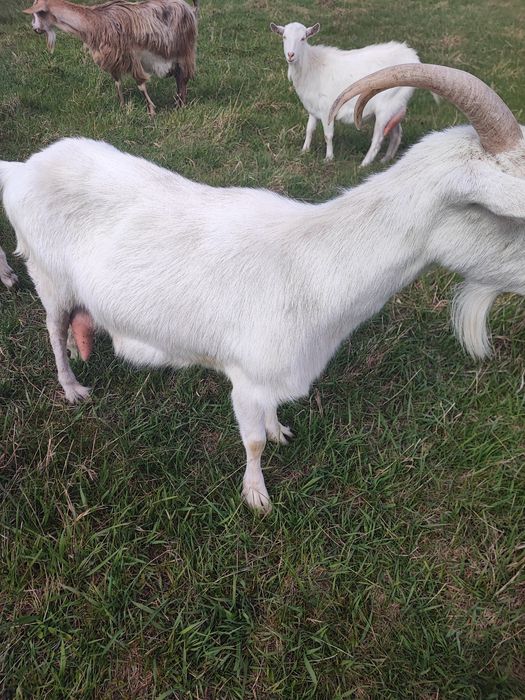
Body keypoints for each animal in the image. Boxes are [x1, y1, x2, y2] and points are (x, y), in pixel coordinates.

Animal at [1, 64, 524, 512]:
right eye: (509, 216)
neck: (316, 263)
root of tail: (24, 168)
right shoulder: (246, 376)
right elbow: (250, 440)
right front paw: (257, 495)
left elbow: (271, 418)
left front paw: (279, 432)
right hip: (49, 277)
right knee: (52, 330)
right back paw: (72, 387)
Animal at [23, 0, 198, 115]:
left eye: (39, 13)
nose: (35, 29)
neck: (95, 21)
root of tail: (189, 8)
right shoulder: (114, 61)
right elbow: (117, 83)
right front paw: (122, 108)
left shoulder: (130, 57)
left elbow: (140, 84)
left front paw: (151, 112)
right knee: (179, 76)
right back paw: (178, 103)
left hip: (184, 52)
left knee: (182, 77)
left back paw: (180, 106)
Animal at [270, 22, 421, 165]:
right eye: (284, 37)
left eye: (303, 38)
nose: (290, 55)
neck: (311, 66)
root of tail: (413, 57)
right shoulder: (312, 108)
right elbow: (309, 129)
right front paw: (304, 151)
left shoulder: (327, 108)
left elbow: (328, 135)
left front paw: (329, 158)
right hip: (395, 106)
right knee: (396, 133)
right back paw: (385, 160)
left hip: (386, 106)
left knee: (378, 138)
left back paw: (364, 164)